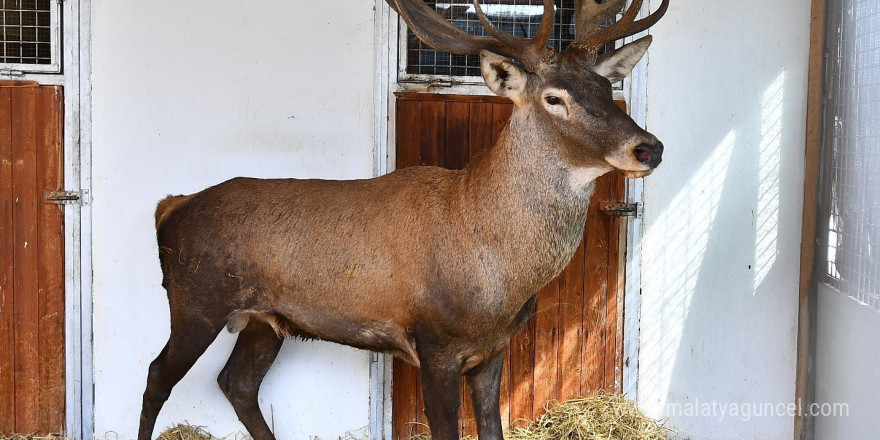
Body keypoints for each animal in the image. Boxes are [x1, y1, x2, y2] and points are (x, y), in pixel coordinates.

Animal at [139, 0, 668, 440]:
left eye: (605, 87)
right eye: (553, 98)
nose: (649, 147)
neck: (498, 273)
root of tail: (169, 207)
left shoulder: (494, 350)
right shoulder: (435, 344)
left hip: (264, 320)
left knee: (237, 383)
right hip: (196, 301)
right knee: (157, 375)